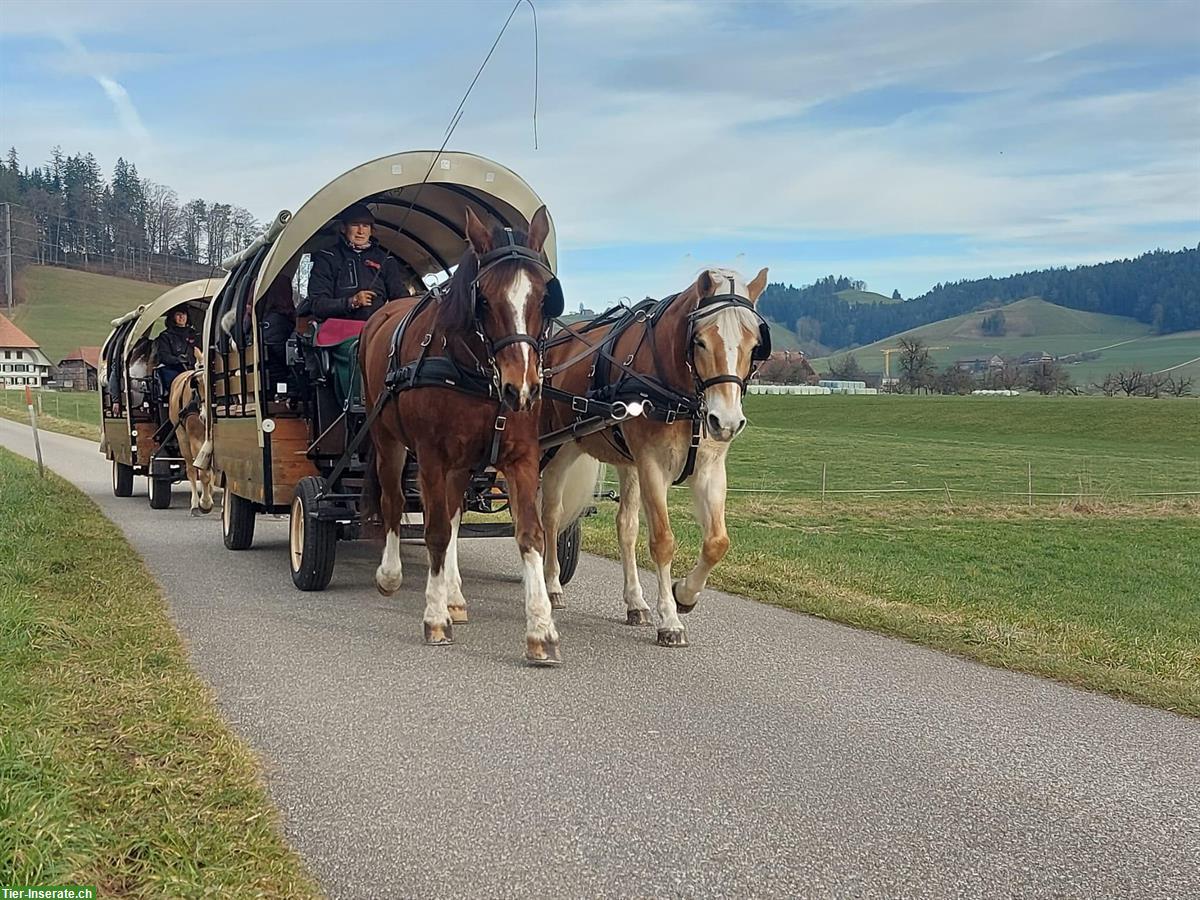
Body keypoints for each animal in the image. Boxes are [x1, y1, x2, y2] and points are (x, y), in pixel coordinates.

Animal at [168, 369, 214, 518]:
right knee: (191, 470)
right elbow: (203, 474)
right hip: (182, 437)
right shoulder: (195, 440)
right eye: (198, 385)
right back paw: (194, 505)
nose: (204, 416)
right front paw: (205, 503)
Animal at [357, 207, 564, 667]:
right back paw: (391, 575)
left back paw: (453, 594)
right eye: (483, 299)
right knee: (394, 502)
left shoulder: (521, 458)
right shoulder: (432, 456)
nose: (521, 388)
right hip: (388, 442)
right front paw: (435, 619)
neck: (476, 372)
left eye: (545, 296)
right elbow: (433, 531)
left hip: (462, 463)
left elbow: (530, 535)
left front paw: (541, 630)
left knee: (452, 515)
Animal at [542, 267, 768, 648]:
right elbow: (662, 541)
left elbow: (717, 542)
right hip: (558, 448)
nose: (726, 422)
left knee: (625, 526)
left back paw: (635, 602)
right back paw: (551, 584)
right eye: (700, 341)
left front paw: (685, 595)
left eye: (754, 345)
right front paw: (671, 621)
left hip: (620, 461)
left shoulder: (709, 469)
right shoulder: (652, 465)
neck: (684, 397)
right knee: (550, 516)